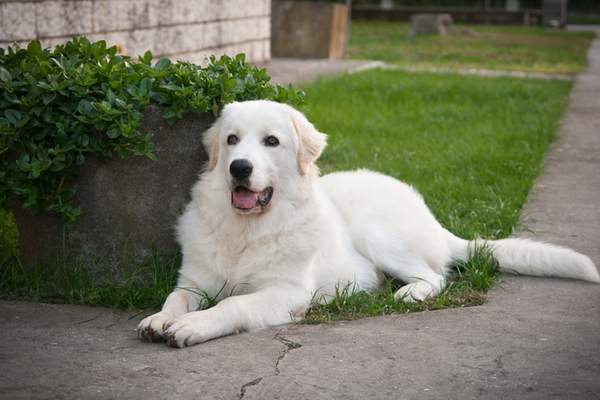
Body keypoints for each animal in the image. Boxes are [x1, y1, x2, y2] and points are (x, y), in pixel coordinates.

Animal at [137, 99, 600, 346]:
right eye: (231, 140)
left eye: (271, 141)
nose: (239, 168)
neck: (246, 229)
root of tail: (433, 219)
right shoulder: (194, 282)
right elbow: (176, 298)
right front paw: (161, 320)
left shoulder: (284, 292)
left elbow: (234, 304)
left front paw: (193, 326)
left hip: (377, 233)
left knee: (436, 277)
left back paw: (407, 294)